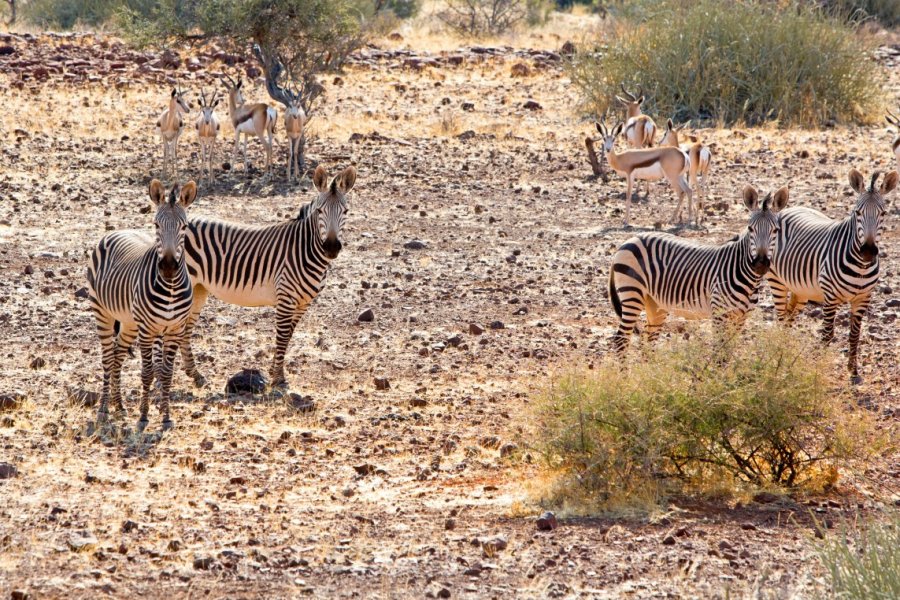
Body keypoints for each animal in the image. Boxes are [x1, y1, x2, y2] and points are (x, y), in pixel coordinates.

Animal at [86, 178, 197, 426]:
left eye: (184, 227)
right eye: (156, 225)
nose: (168, 267)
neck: (170, 288)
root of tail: (117, 231)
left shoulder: (175, 329)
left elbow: (166, 373)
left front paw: (166, 416)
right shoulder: (147, 329)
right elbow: (148, 372)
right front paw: (144, 415)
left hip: (129, 322)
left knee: (117, 355)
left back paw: (119, 405)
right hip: (102, 312)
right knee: (107, 358)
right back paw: (104, 408)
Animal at [179, 165, 358, 390]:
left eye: (346, 211)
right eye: (319, 211)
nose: (332, 247)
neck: (304, 248)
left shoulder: (303, 303)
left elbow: (288, 336)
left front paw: (274, 371)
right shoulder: (285, 298)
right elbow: (281, 337)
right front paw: (279, 379)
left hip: (199, 289)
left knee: (185, 329)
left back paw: (195, 375)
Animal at [604, 184, 788, 352]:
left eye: (776, 230)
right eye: (750, 229)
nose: (760, 264)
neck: (748, 278)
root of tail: (630, 240)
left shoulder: (741, 317)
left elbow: (729, 350)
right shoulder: (719, 313)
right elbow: (720, 352)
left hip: (654, 303)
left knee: (647, 341)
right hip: (632, 293)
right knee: (621, 339)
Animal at [768, 168, 900, 384]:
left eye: (883, 213)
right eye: (857, 213)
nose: (868, 252)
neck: (861, 266)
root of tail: (788, 208)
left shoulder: (863, 298)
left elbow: (854, 335)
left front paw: (853, 371)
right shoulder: (830, 297)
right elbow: (827, 335)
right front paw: (818, 371)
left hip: (800, 290)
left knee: (788, 317)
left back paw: (784, 350)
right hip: (776, 281)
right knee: (780, 317)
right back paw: (779, 352)